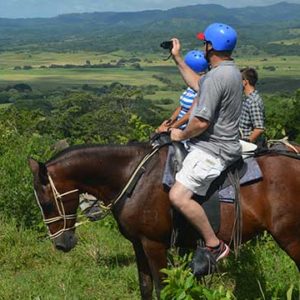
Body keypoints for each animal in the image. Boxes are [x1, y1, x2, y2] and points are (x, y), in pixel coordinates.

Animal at [28, 144, 300, 298]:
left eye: (47, 204)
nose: (61, 244)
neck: (135, 178)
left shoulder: (154, 245)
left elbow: (163, 288)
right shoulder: (138, 245)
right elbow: (145, 286)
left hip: (290, 237)